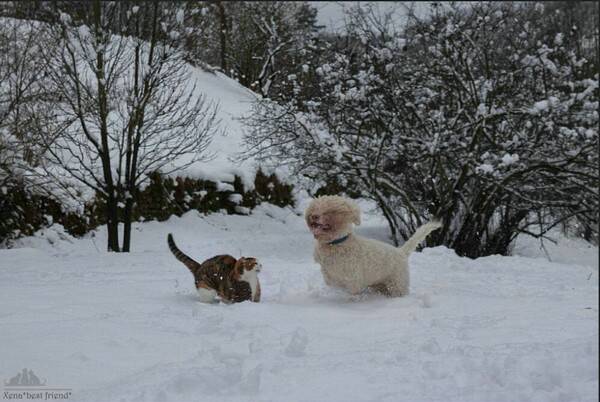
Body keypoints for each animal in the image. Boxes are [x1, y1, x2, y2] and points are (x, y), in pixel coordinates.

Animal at [304, 196, 440, 296]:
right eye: (314, 207)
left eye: (330, 210)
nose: (314, 216)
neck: (336, 244)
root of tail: (401, 252)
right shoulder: (328, 274)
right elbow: (332, 283)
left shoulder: (353, 278)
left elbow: (352, 292)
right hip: (379, 283)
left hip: (397, 284)